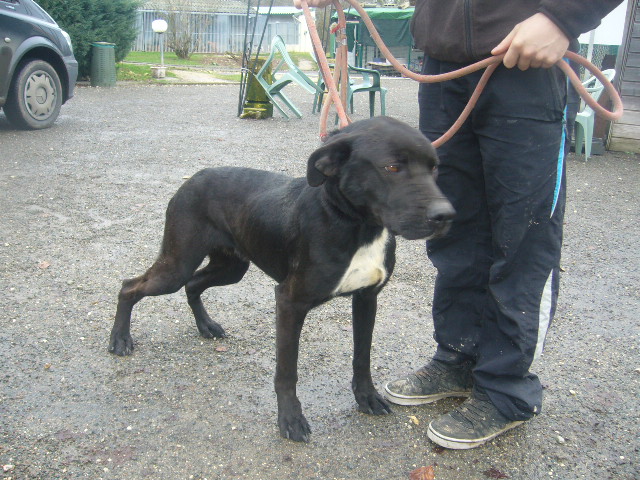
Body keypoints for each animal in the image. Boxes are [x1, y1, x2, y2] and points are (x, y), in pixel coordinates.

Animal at [109, 116, 450, 442]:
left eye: (435, 167)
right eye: (392, 167)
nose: (446, 215)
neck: (356, 224)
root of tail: (193, 178)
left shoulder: (367, 298)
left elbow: (362, 357)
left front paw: (366, 397)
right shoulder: (290, 302)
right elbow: (287, 372)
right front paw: (290, 419)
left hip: (231, 267)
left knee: (192, 284)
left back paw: (206, 326)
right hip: (177, 264)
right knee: (130, 286)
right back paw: (120, 339)